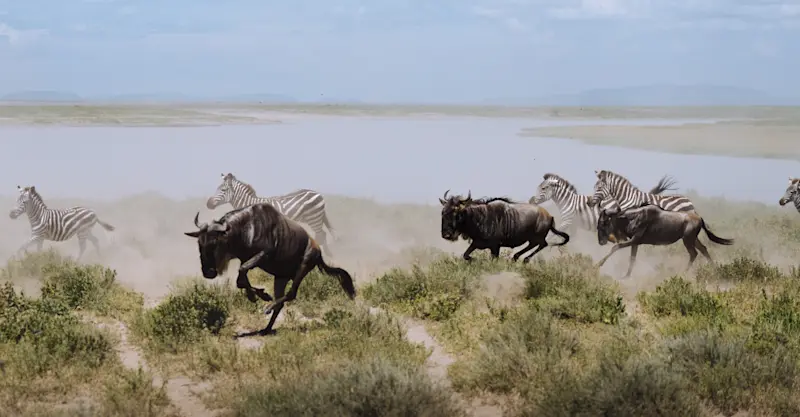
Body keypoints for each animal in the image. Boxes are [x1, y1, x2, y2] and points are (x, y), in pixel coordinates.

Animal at [206, 173, 337, 256]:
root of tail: (316, 193)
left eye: (223, 190)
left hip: (314, 218)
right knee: (322, 235)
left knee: (321, 235)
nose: (208, 204)